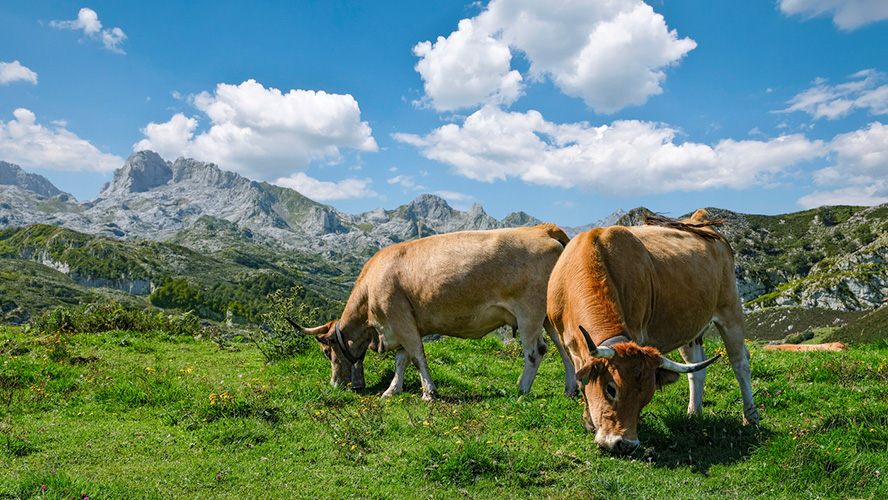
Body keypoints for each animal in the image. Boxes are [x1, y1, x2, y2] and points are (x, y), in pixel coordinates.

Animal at [294, 225, 580, 400]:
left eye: (326, 351)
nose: (334, 385)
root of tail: (543, 229)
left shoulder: (400, 320)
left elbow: (417, 357)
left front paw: (428, 392)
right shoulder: (402, 324)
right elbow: (401, 361)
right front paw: (392, 391)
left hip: (529, 311)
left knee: (535, 352)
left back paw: (521, 389)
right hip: (550, 316)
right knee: (564, 349)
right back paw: (570, 390)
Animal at [544, 210, 760, 454]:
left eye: (646, 398)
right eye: (611, 389)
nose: (625, 444)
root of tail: (696, 220)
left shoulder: (636, 332)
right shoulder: (567, 344)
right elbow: (582, 382)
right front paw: (589, 421)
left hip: (731, 309)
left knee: (740, 364)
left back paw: (751, 416)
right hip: (690, 328)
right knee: (697, 368)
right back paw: (694, 414)